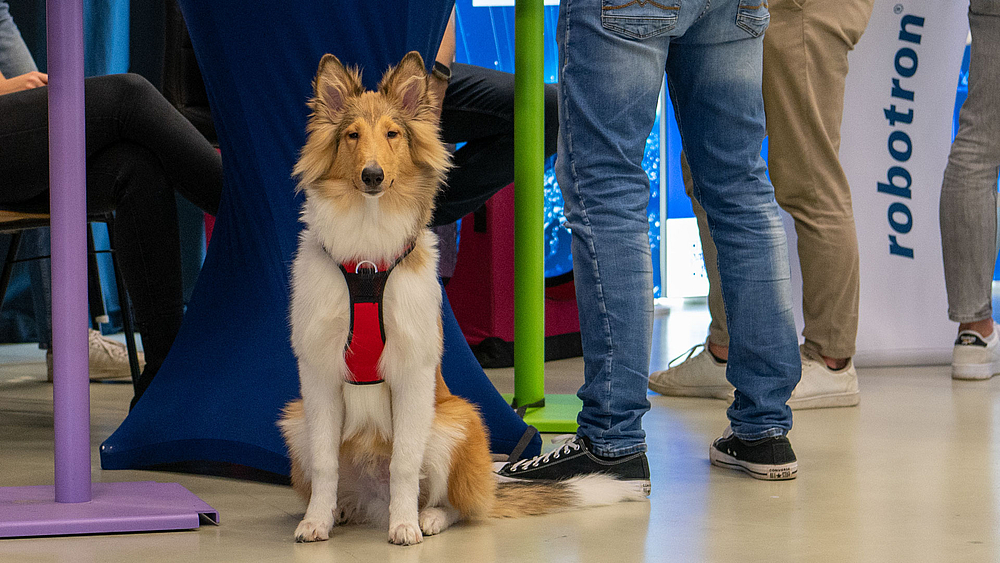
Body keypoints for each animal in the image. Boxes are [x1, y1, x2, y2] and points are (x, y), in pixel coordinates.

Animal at [280, 53, 640, 548]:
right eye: (352, 135)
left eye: (393, 134)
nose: (372, 175)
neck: (368, 254)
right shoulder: (318, 374)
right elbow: (324, 462)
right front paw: (316, 522)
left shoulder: (412, 372)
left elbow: (404, 462)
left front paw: (405, 527)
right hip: (295, 418)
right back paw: (343, 510)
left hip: (457, 421)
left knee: (456, 503)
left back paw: (424, 518)